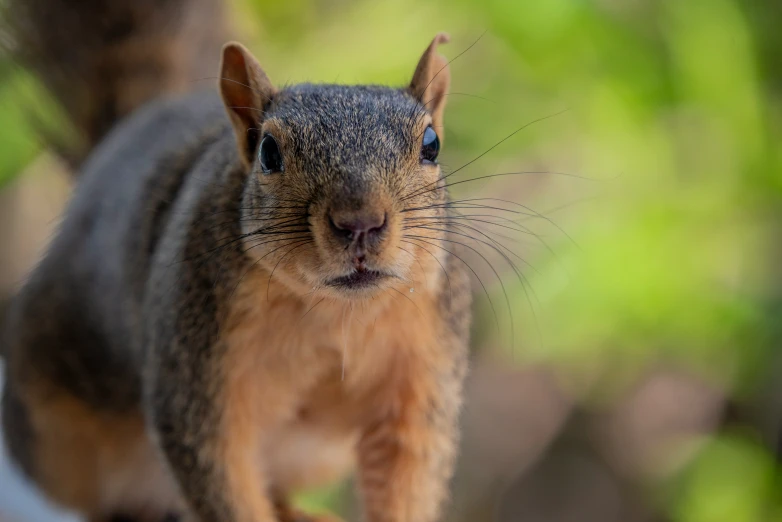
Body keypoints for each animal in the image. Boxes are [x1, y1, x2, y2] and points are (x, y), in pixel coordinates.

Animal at [1, 1, 472, 520]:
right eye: (268, 152)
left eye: (431, 144)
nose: (360, 222)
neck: (335, 311)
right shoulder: (194, 379)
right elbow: (219, 476)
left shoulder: (421, 376)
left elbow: (406, 473)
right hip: (57, 435)